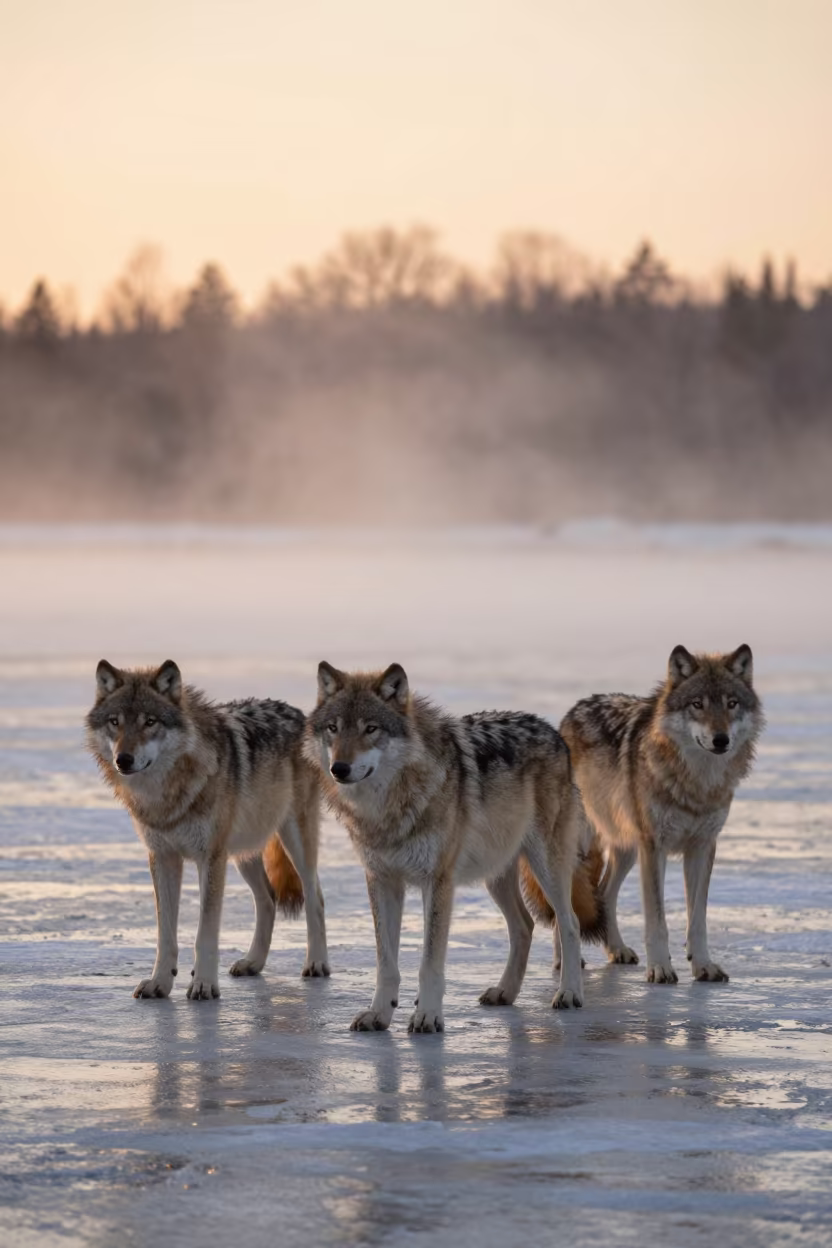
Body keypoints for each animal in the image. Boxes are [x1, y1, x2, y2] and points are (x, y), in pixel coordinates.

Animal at [86, 660, 329, 1000]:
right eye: (114, 722)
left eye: (150, 722)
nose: (124, 759)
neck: (168, 795)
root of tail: (297, 713)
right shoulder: (163, 857)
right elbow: (165, 935)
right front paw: (160, 982)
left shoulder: (210, 858)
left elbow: (205, 932)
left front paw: (203, 983)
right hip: (242, 852)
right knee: (268, 898)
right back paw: (253, 962)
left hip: (293, 841)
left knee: (314, 894)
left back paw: (317, 964)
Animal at [304, 661, 605, 1033]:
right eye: (333, 728)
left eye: (370, 729)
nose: (339, 768)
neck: (388, 808)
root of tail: (552, 731)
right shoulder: (382, 880)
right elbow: (385, 962)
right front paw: (379, 1014)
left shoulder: (437, 881)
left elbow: (429, 961)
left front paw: (428, 1015)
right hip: (495, 875)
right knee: (524, 926)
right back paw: (505, 992)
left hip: (546, 865)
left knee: (570, 922)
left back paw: (569, 994)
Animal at [544, 644, 764, 985]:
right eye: (697, 704)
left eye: (732, 703)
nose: (721, 739)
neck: (696, 783)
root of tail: (574, 710)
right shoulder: (654, 846)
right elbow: (656, 920)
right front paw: (660, 967)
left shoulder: (702, 847)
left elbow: (697, 919)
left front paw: (703, 965)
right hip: (584, 845)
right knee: (567, 904)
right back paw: (565, 961)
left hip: (626, 849)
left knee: (604, 895)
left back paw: (617, 950)